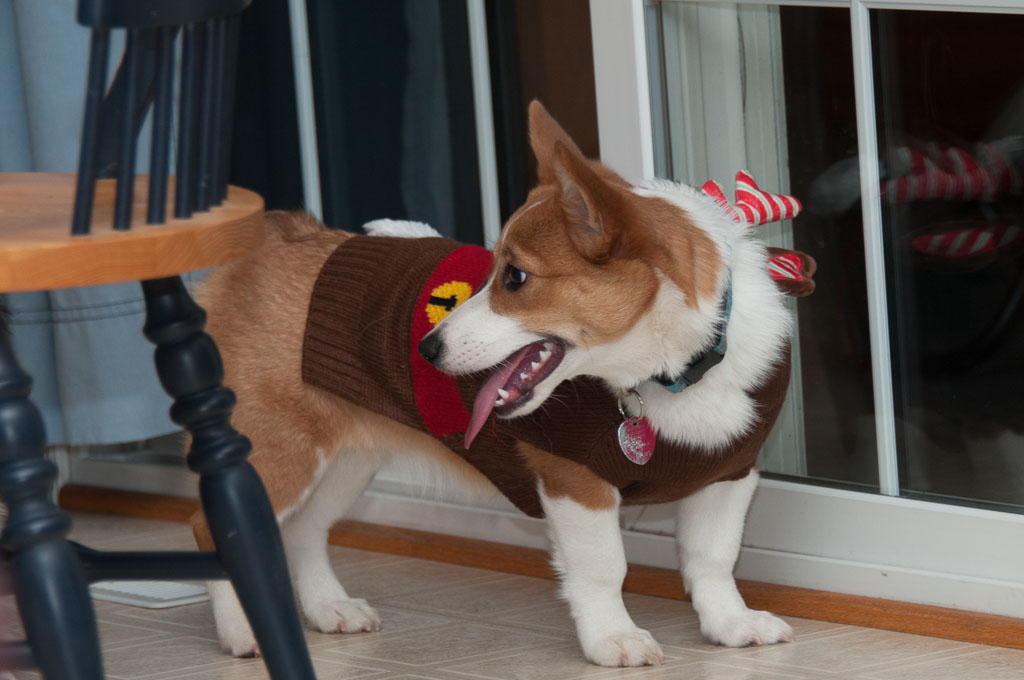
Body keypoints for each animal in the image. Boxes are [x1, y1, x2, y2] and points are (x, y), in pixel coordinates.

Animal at [194, 101, 810, 667]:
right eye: (493, 270)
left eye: (515, 277)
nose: (426, 349)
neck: (669, 372)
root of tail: (276, 240)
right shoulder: (575, 481)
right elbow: (603, 566)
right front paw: (614, 638)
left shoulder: (728, 474)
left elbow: (713, 557)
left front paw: (730, 623)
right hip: (282, 452)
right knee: (214, 532)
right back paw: (245, 632)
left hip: (345, 461)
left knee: (303, 532)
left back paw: (329, 608)